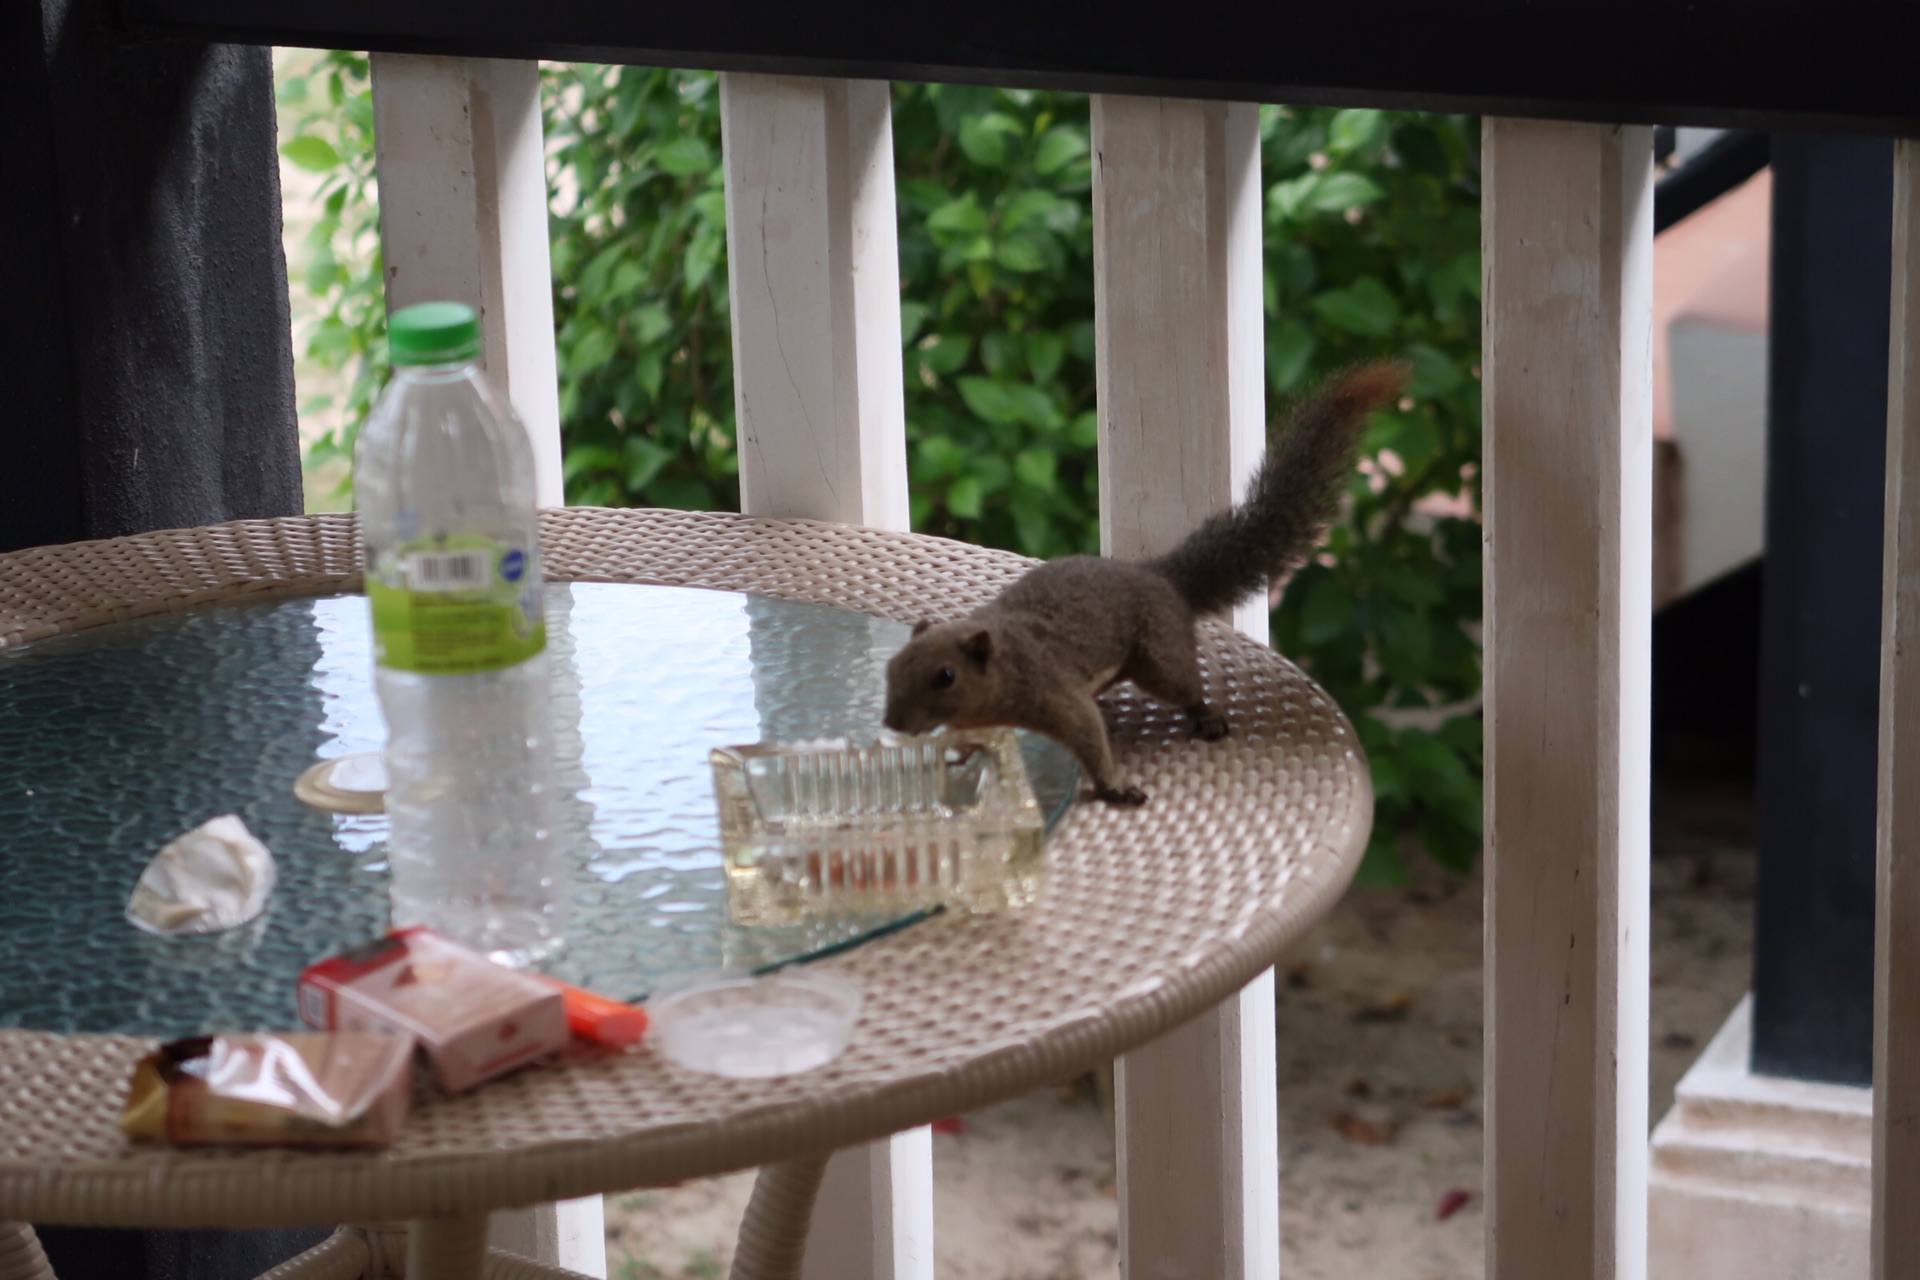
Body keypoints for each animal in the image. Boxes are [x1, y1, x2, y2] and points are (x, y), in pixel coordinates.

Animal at [879, 358, 1405, 802]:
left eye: (945, 676)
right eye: (892, 665)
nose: (893, 721)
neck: (1002, 669)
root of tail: (1157, 577)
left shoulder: (1055, 695)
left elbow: (1088, 738)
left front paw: (1113, 788)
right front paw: (956, 756)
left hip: (1159, 653)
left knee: (1183, 685)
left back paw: (1206, 715)